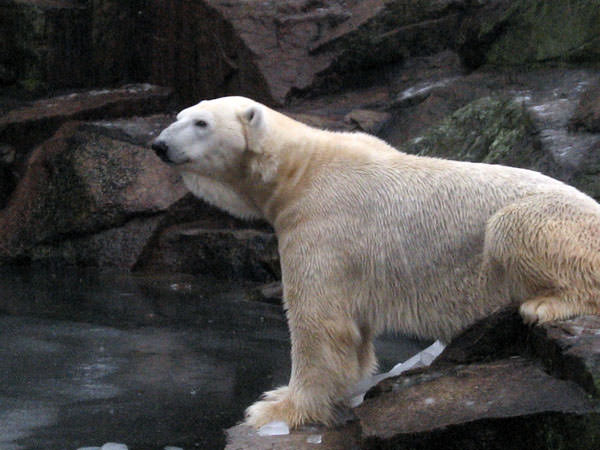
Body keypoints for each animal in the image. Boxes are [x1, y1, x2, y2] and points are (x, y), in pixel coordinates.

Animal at [152, 96, 600, 428]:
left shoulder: (322, 224)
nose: (159, 145)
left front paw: (276, 406)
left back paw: (545, 304)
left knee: (512, 227)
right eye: (178, 116)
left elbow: (318, 320)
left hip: (562, 224)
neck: (299, 170)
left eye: (201, 123)